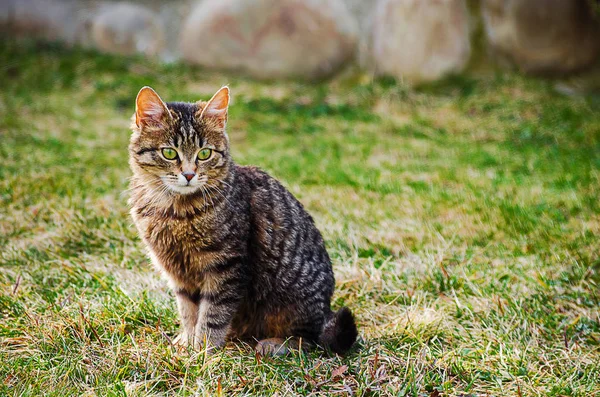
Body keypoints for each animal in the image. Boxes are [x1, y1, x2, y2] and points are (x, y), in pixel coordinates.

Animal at [128, 85, 356, 354]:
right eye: (169, 153)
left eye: (204, 153)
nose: (189, 175)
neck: (173, 210)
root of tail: (326, 310)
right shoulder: (178, 273)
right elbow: (188, 312)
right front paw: (187, 341)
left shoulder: (227, 266)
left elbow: (212, 315)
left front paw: (203, 350)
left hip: (292, 301)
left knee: (309, 340)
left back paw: (274, 345)